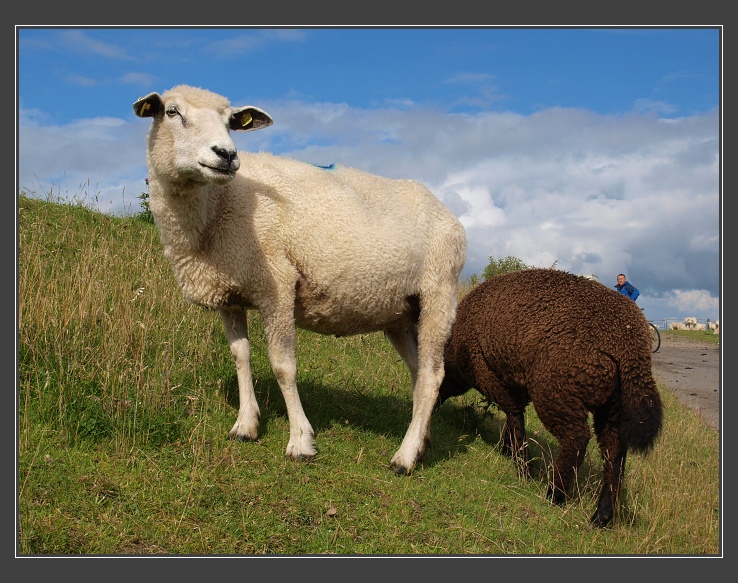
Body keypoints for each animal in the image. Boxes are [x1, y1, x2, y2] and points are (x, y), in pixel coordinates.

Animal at [132, 85, 466, 474]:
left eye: (231, 121)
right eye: (172, 112)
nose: (227, 155)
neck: (216, 207)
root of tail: (448, 214)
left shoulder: (277, 285)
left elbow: (283, 367)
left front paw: (300, 441)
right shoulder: (231, 292)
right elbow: (240, 355)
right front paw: (245, 424)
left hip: (439, 291)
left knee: (432, 376)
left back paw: (406, 456)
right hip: (400, 311)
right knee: (418, 372)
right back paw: (422, 441)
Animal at [436, 270, 660, 528]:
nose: (434, 406)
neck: (456, 348)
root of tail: (628, 345)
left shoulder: (490, 376)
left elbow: (514, 416)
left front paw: (523, 467)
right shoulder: (516, 382)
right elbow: (514, 419)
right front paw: (508, 451)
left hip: (556, 390)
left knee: (576, 440)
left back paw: (556, 493)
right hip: (613, 404)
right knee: (614, 452)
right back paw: (602, 515)